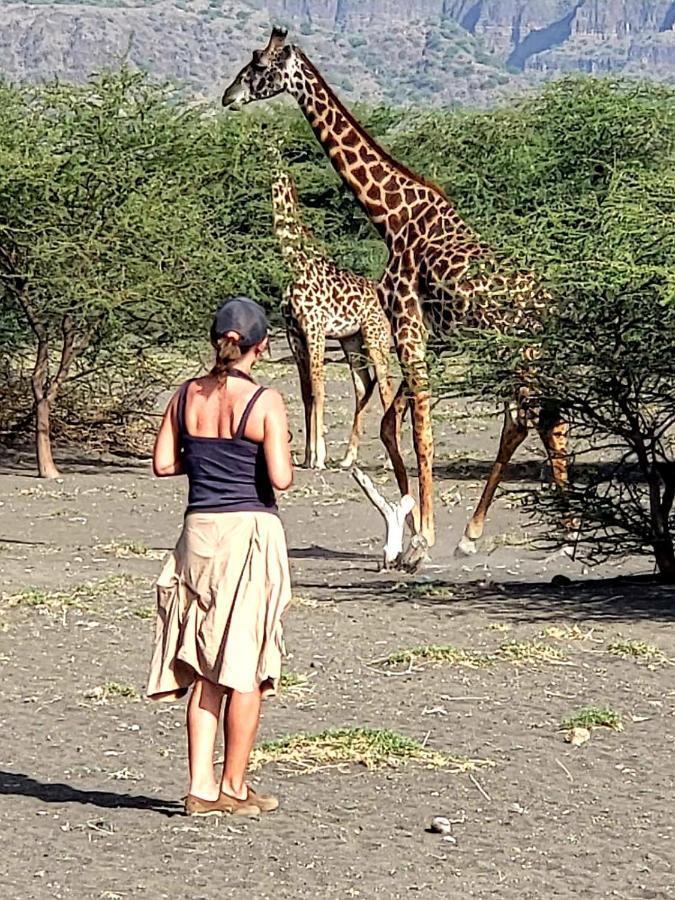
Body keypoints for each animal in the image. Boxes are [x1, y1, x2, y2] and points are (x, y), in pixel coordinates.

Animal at [223, 29, 572, 568]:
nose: (228, 95)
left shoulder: (406, 324)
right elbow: (392, 425)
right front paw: (407, 530)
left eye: (259, 66)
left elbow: (420, 431)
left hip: (523, 354)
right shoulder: (421, 332)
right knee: (543, 420)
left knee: (529, 420)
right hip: (526, 356)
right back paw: (543, 533)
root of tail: (555, 305)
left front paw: (422, 539)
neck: (391, 217)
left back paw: (514, 533)